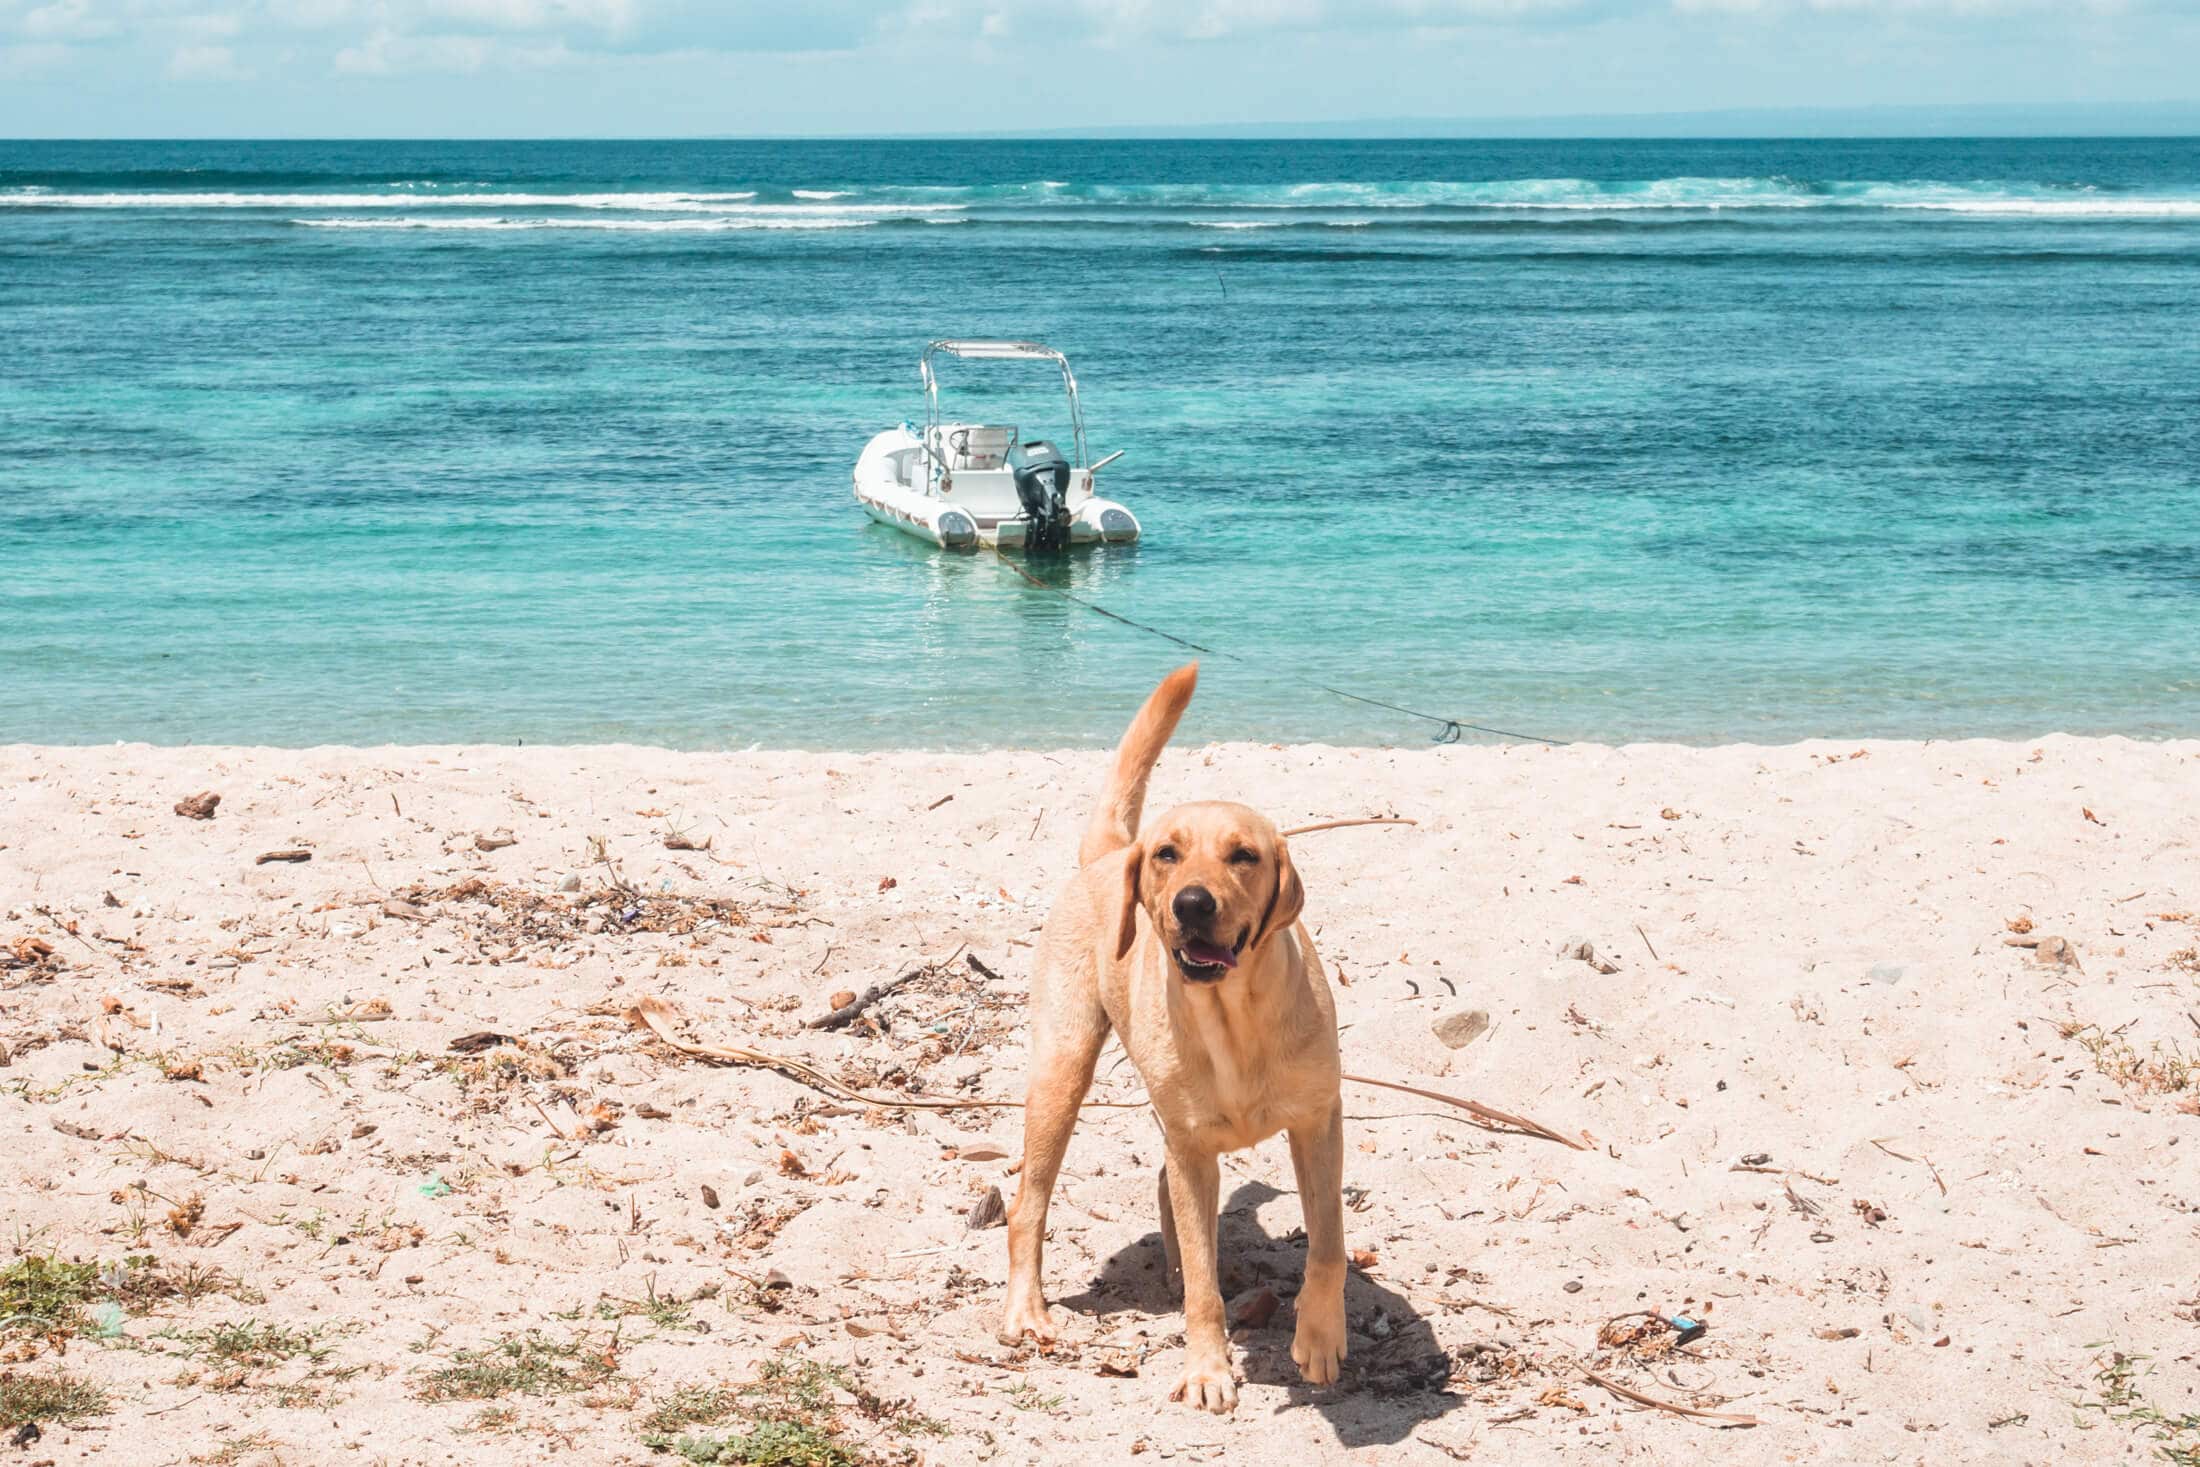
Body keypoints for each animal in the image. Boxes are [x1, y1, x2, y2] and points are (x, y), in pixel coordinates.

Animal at [998, 664, 1337, 1407]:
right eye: (1168, 855)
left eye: (1244, 855)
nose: (1192, 903)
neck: (1235, 1019)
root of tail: (1108, 854)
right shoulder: (1193, 1146)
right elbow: (1206, 1292)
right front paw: (1207, 1368)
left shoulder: (1319, 1124)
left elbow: (1327, 1240)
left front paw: (1321, 1336)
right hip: (1062, 1073)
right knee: (1027, 1204)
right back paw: (1025, 1309)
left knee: (1164, 1188)